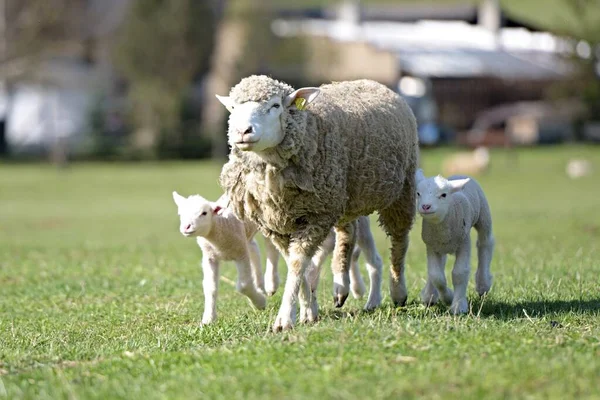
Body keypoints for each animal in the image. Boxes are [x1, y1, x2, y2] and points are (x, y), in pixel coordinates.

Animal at [170, 191, 266, 324]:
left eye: (204, 213)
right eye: (181, 214)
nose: (186, 227)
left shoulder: (241, 254)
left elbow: (244, 285)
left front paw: (260, 303)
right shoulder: (210, 257)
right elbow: (210, 287)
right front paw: (208, 319)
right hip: (247, 235)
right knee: (254, 248)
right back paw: (260, 286)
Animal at [216, 75, 418, 332]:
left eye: (275, 105)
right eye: (233, 108)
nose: (243, 131)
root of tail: (370, 81)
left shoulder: (316, 216)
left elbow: (297, 263)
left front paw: (284, 319)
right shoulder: (276, 225)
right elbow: (294, 263)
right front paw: (308, 310)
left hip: (402, 188)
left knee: (399, 240)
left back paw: (398, 291)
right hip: (344, 196)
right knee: (347, 234)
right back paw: (341, 285)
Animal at [414, 169, 494, 316]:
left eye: (443, 195)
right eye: (418, 193)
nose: (425, 206)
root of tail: (459, 174)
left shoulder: (464, 243)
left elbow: (459, 273)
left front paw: (458, 306)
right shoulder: (432, 246)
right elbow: (436, 276)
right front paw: (448, 298)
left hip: (483, 213)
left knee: (485, 243)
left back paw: (483, 285)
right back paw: (429, 295)